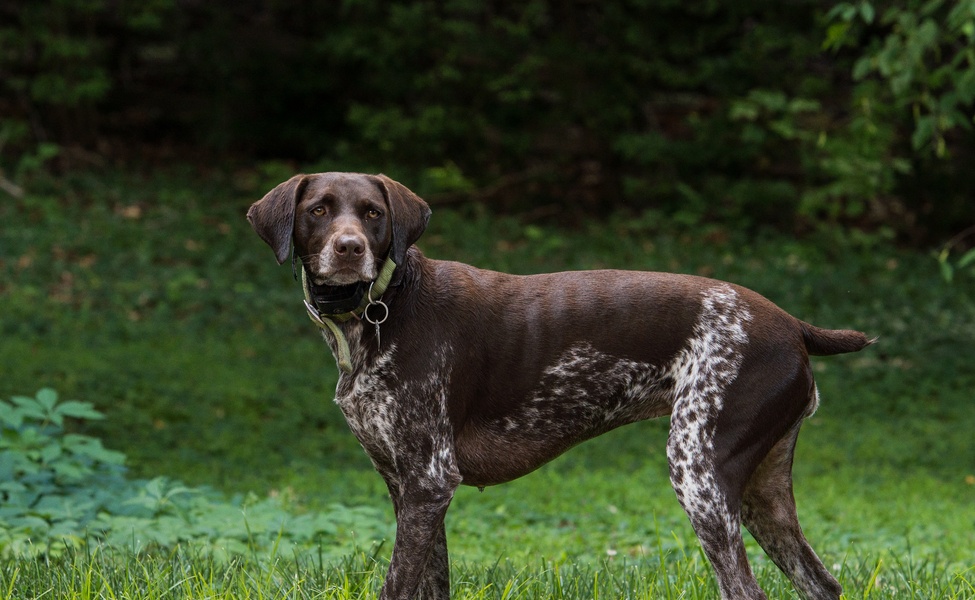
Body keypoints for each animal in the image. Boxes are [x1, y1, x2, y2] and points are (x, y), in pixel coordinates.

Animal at [248, 172, 872, 600]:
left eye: (373, 213)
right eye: (319, 209)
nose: (349, 248)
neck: (383, 305)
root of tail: (791, 324)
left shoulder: (428, 482)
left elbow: (397, 587)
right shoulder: (410, 489)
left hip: (701, 474)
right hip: (763, 495)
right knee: (822, 584)